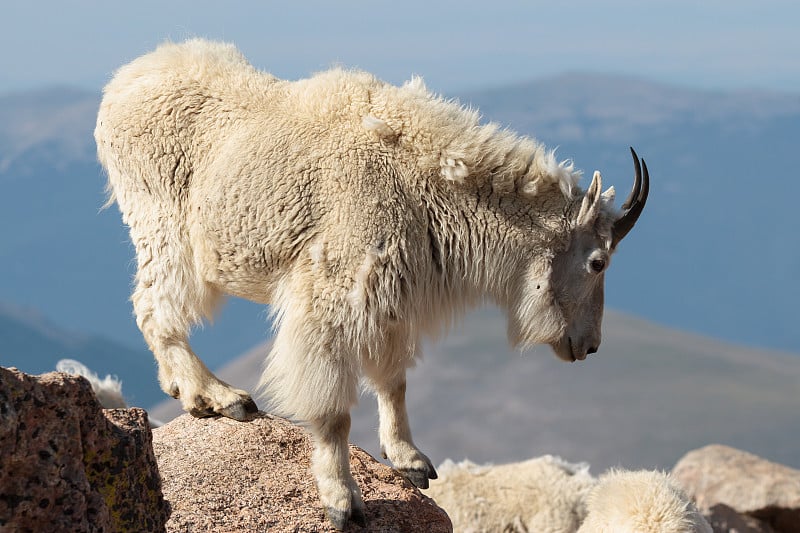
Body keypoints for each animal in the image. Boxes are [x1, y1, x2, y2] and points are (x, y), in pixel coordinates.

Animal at [97, 38, 648, 528]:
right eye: (598, 262)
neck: (425, 185)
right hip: (163, 228)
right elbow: (333, 410)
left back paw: (184, 389)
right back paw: (218, 395)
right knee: (154, 308)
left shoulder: (389, 298)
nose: (589, 345)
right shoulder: (334, 295)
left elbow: (394, 380)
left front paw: (411, 461)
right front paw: (342, 502)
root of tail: (118, 87)